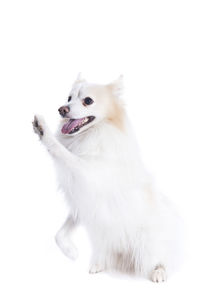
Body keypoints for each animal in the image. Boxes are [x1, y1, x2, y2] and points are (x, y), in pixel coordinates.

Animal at [32, 74, 183, 282]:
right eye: (68, 98)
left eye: (88, 101)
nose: (62, 109)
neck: (94, 133)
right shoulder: (84, 201)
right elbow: (59, 234)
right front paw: (71, 252)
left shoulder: (88, 175)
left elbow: (62, 151)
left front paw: (44, 130)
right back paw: (99, 264)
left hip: (148, 245)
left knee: (161, 259)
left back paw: (159, 271)